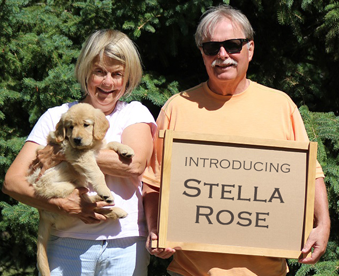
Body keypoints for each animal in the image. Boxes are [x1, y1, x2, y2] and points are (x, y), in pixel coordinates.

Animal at [27, 103, 135, 276]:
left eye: (86, 125)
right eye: (70, 127)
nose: (77, 140)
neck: (90, 146)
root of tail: (42, 214)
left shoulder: (98, 148)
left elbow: (111, 142)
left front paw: (125, 149)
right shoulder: (80, 156)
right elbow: (97, 172)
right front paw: (104, 190)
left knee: (91, 204)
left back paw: (112, 207)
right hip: (61, 188)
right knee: (85, 202)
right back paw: (107, 200)